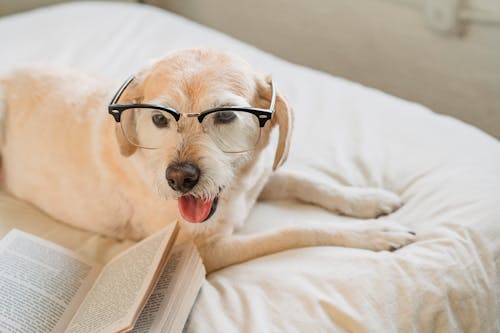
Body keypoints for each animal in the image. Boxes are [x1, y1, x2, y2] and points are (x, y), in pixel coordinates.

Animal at [0, 49, 414, 272]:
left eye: (226, 115)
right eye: (159, 119)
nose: (179, 178)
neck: (235, 193)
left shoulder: (259, 179)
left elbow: (307, 180)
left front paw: (365, 200)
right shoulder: (203, 253)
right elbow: (295, 230)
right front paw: (374, 235)